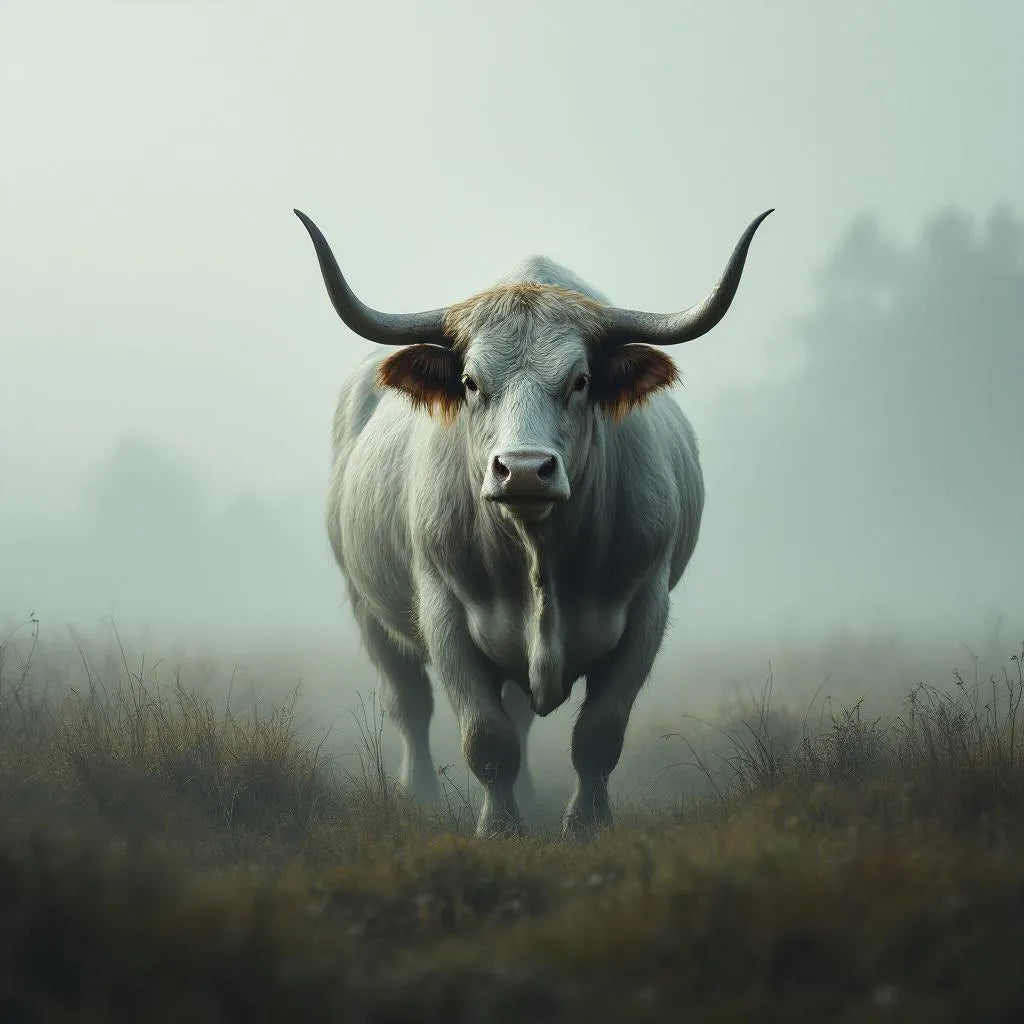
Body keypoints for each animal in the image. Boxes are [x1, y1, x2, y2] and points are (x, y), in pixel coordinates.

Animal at [295, 208, 772, 838]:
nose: (523, 470)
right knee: (410, 705)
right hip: (368, 607)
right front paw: (499, 828)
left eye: (580, 380)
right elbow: (486, 738)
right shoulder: (445, 613)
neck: (538, 551)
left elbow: (597, 736)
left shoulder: (645, 610)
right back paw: (419, 796)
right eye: (471, 381)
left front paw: (585, 824)